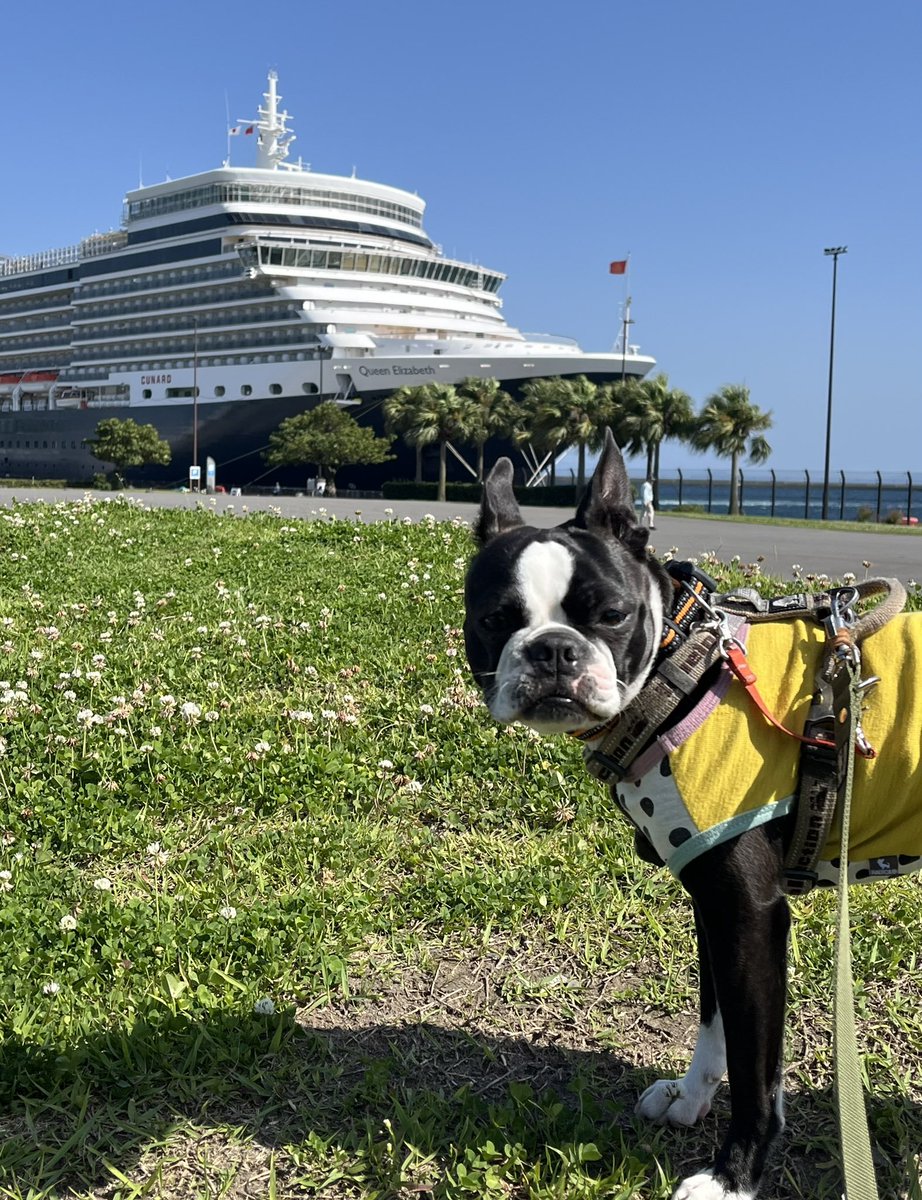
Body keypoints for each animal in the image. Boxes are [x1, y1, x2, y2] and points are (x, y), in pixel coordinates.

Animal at [465, 432, 917, 1200]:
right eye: (495, 619)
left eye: (612, 615)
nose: (553, 649)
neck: (683, 669)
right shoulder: (712, 901)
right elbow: (718, 1023)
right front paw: (691, 1095)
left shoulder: (751, 912)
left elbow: (756, 1066)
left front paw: (734, 1175)